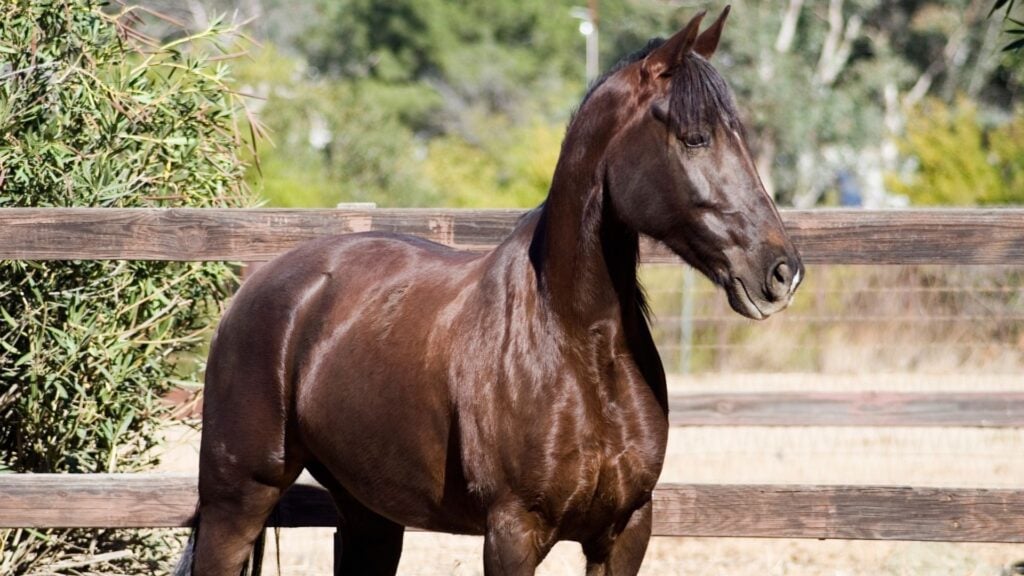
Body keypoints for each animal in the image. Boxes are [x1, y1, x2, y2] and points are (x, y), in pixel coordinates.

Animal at [174, 6, 798, 569]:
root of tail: (256, 290)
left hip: (369, 514)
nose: (781, 271)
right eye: (694, 139)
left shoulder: (625, 531)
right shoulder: (513, 532)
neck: (577, 344)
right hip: (237, 502)